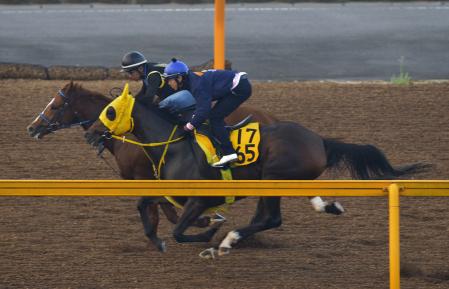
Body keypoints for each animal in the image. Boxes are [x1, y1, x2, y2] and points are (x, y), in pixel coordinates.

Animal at [26, 81, 342, 252]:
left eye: (55, 106)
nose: (32, 128)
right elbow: (155, 209)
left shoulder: (149, 179)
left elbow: (167, 213)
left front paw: (205, 224)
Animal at [85, 85, 428, 256]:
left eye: (110, 111)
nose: (91, 132)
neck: (175, 146)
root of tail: (319, 139)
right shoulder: (171, 193)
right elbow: (145, 206)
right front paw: (158, 241)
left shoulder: (199, 199)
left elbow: (181, 231)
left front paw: (211, 230)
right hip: (274, 181)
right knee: (268, 216)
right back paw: (325, 206)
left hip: (274, 178)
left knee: (271, 218)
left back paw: (230, 239)